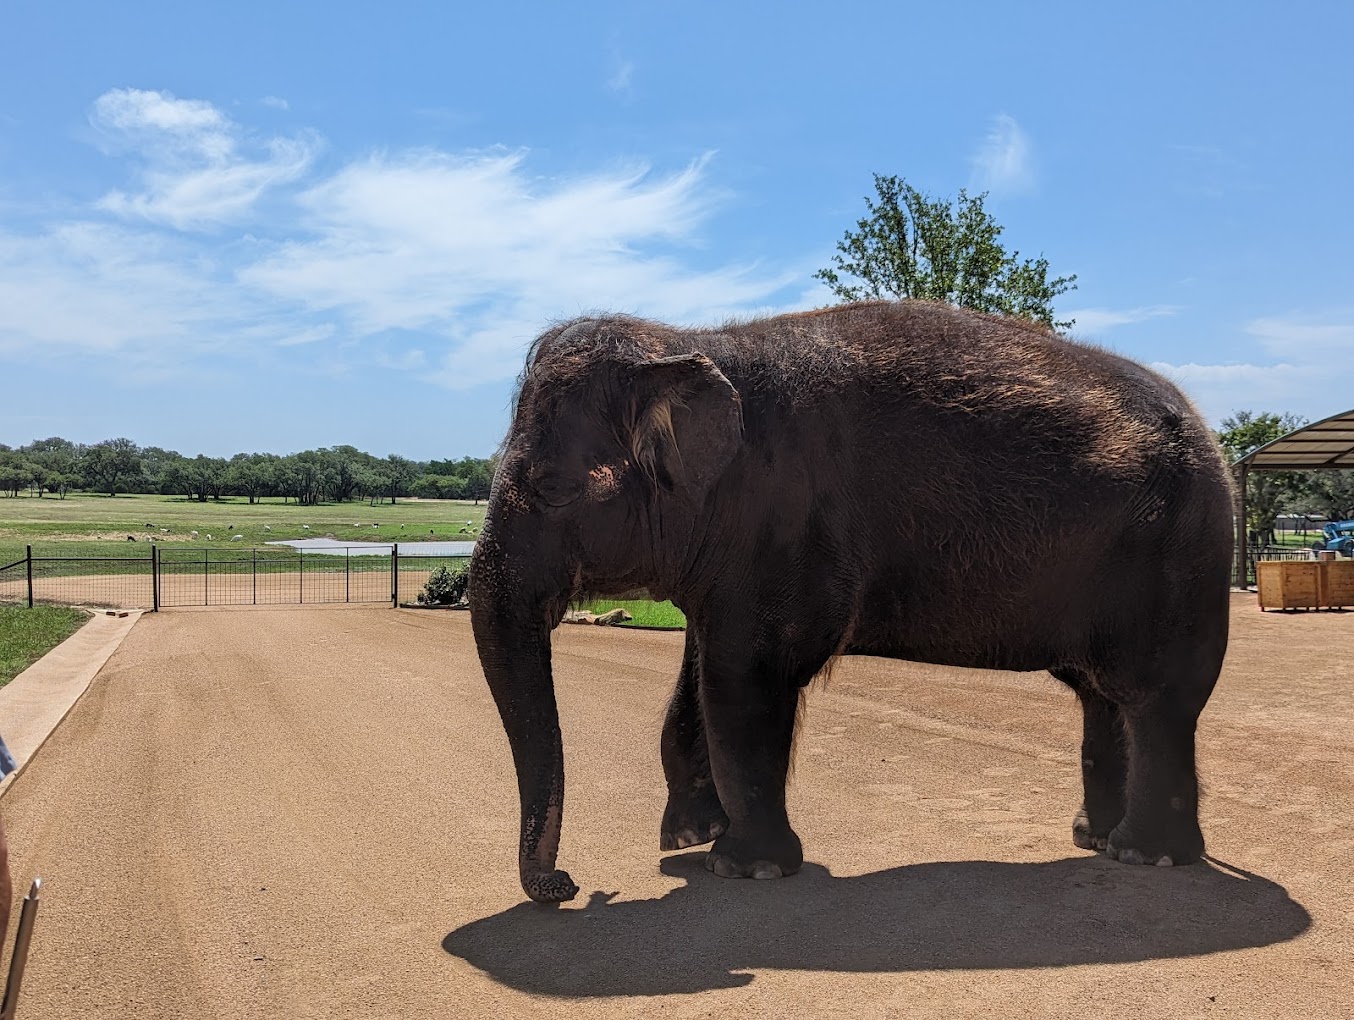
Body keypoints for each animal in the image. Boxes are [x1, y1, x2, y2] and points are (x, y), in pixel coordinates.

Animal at [471, 298, 1234, 904]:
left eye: (549, 485)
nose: (571, 886)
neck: (694, 343)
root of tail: (1205, 429)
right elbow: (697, 674)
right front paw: (690, 838)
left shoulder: (784, 529)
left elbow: (743, 680)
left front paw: (743, 869)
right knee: (1102, 695)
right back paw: (1094, 839)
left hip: (1180, 555)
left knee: (1157, 698)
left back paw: (1146, 855)